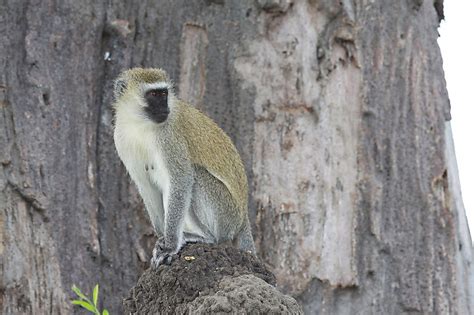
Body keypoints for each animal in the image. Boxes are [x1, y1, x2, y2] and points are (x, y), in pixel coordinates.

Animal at [112, 68, 256, 268]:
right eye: (153, 95)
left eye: (164, 94)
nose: (164, 108)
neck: (141, 125)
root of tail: (243, 217)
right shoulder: (121, 138)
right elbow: (147, 186)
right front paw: (162, 238)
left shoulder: (169, 137)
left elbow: (181, 180)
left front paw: (170, 245)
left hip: (227, 216)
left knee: (196, 176)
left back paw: (206, 237)